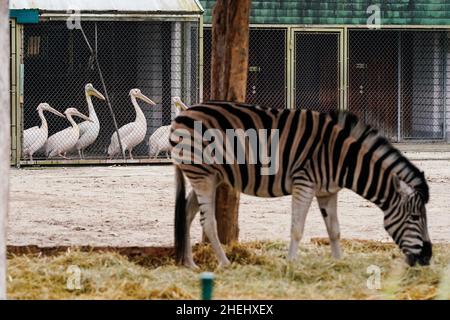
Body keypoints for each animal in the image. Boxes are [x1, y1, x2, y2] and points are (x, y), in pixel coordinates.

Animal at [170, 101, 432, 268]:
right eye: (415, 218)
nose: (427, 258)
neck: (342, 157)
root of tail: (182, 114)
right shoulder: (304, 183)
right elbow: (297, 229)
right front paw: (292, 264)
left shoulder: (327, 192)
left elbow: (334, 231)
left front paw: (339, 262)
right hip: (201, 174)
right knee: (207, 222)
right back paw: (225, 263)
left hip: (210, 176)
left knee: (187, 212)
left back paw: (190, 264)